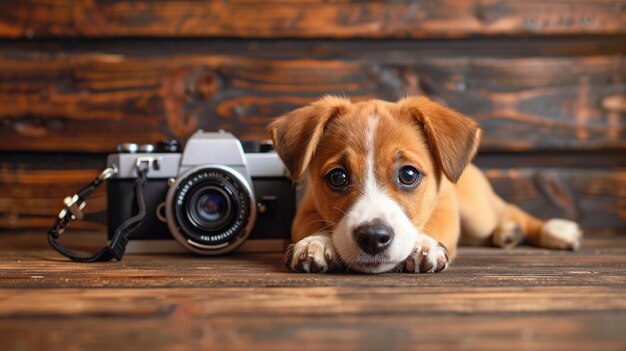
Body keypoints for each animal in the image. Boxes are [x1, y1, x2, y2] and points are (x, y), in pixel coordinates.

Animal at [266, 97, 580, 276]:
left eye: (408, 174)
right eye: (337, 177)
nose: (373, 238)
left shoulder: (445, 210)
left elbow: (434, 227)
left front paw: (422, 244)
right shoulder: (304, 211)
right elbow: (314, 227)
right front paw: (316, 243)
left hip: (478, 212)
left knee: (510, 210)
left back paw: (552, 230)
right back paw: (507, 234)